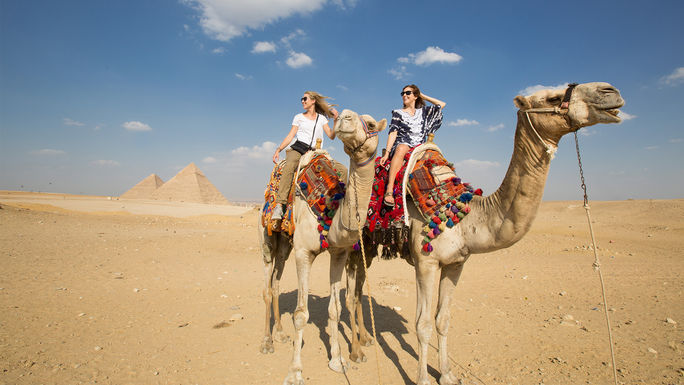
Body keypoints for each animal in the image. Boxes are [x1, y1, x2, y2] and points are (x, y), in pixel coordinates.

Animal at [282, 109, 388, 384]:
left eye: (370, 123)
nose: (344, 116)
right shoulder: (302, 252)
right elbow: (301, 314)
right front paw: (294, 371)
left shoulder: (340, 253)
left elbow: (335, 309)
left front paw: (338, 361)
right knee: (270, 284)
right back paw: (270, 340)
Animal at [350, 82, 624, 384]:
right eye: (552, 97)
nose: (609, 91)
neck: (463, 218)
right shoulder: (426, 261)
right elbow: (422, 324)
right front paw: (422, 379)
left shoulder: (456, 263)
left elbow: (442, 320)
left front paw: (447, 374)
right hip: (359, 240)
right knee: (352, 288)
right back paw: (355, 352)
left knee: (358, 286)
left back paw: (365, 340)